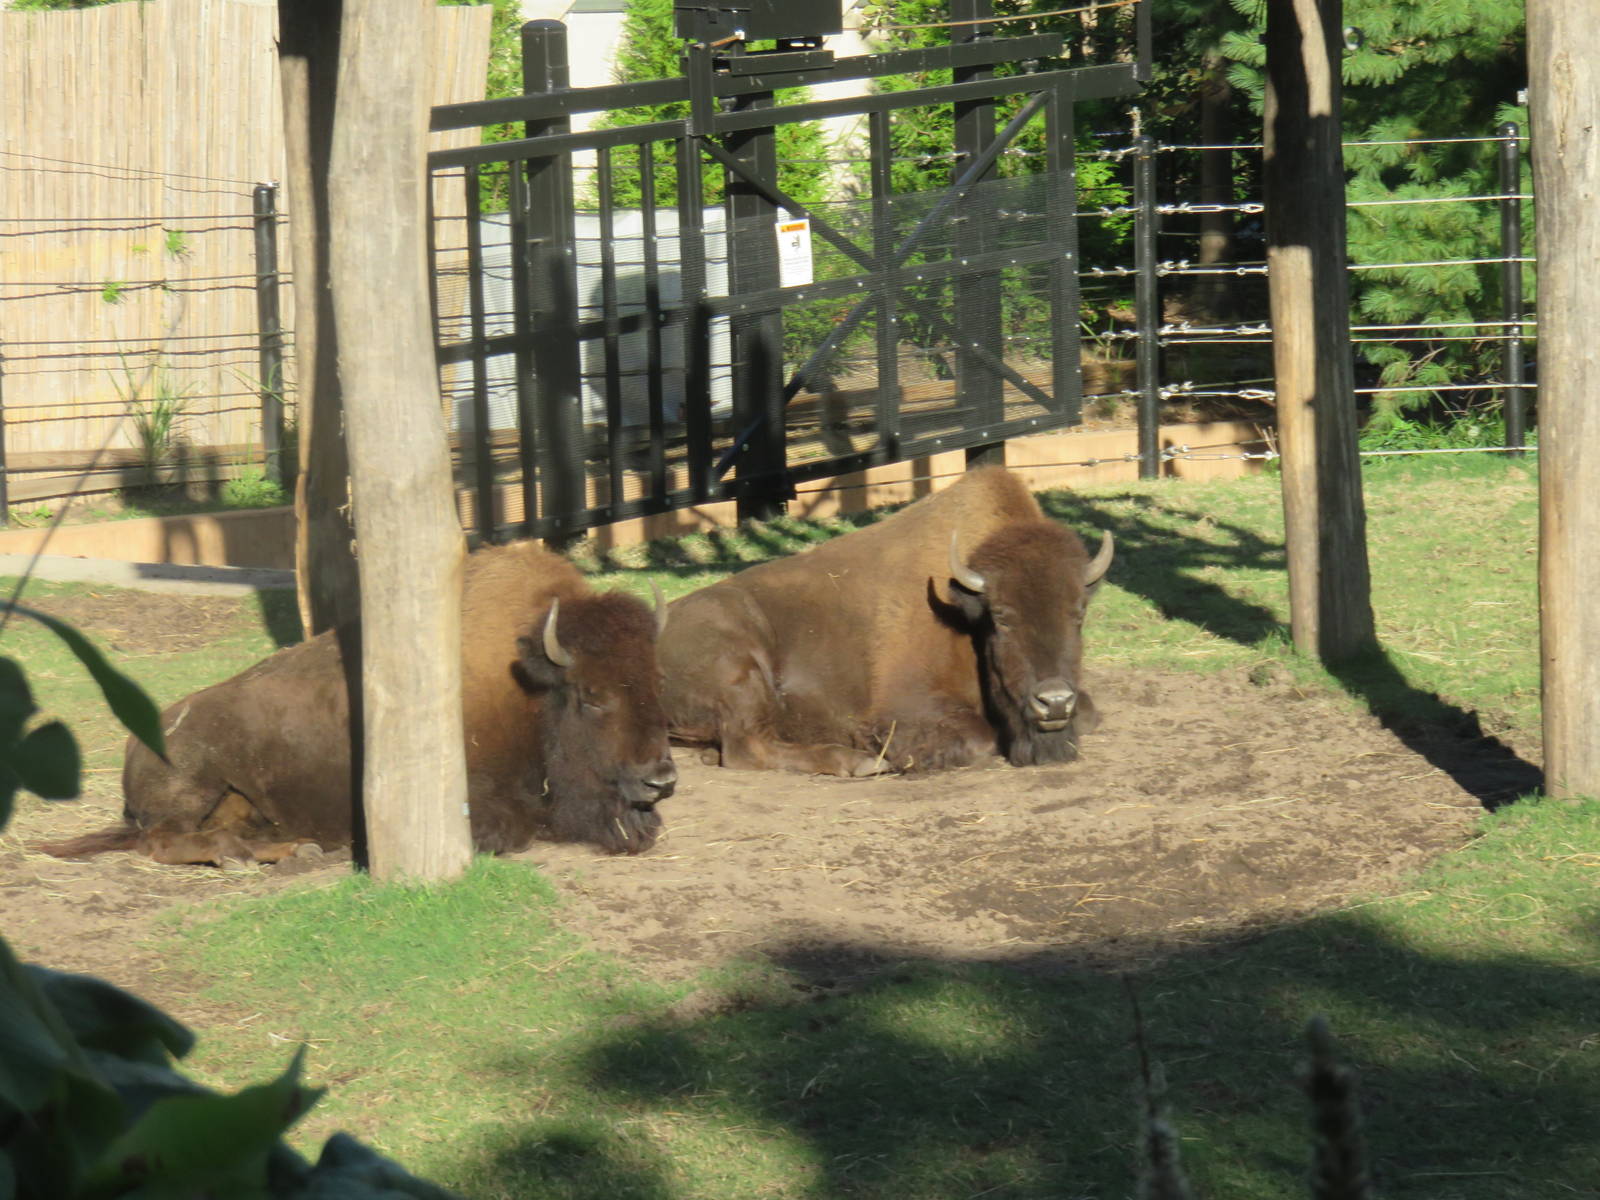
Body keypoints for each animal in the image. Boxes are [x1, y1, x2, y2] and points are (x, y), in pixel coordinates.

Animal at [39, 541, 677, 864]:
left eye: (656, 683)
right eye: (591, 696)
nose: (661, 779)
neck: (526, 688)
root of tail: (135, 740)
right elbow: (512, 828)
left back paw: (298, 851)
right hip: (194, 784)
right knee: (162, 841)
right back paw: (243, 854)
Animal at [660, 466, 1112, 775]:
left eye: (1079, 612)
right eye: (1001, 616)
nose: (1054, 701)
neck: (962, 610)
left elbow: (1090, 713)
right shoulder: (907, 705)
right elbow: (977, 739)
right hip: (739, 667)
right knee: (746, 747)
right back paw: (858, 761)